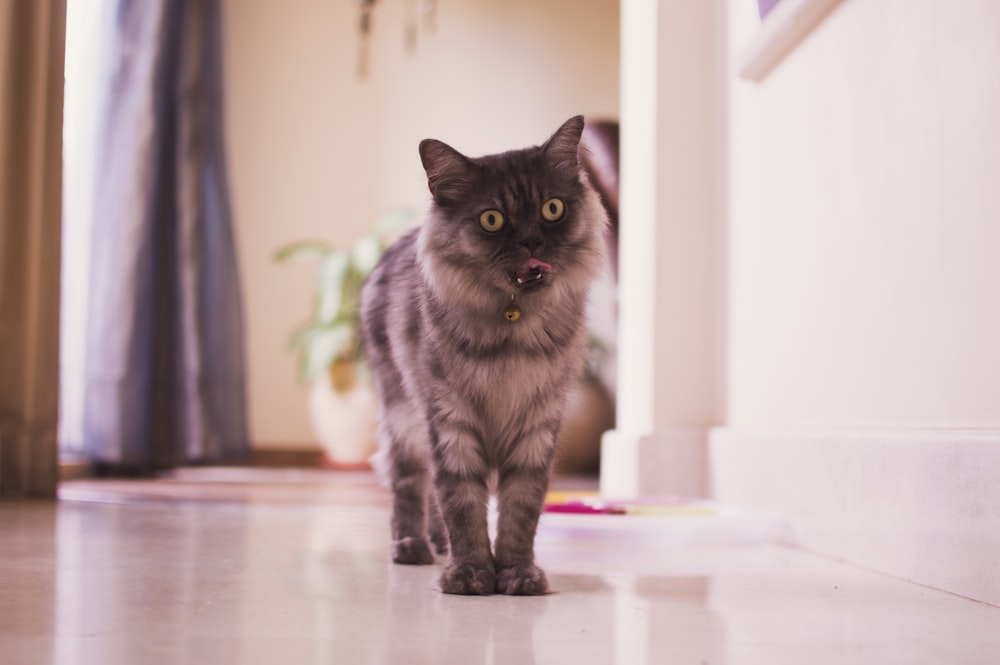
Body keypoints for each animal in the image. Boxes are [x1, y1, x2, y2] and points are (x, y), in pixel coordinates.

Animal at [362, 115, 604, 596]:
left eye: (553, 209)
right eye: (492, 220)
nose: (531, 242)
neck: (513, 326)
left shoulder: (536, 426)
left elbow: (519, 511)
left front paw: (517, 574)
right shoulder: (450, 422)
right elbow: (463, 504)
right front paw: (471, 574)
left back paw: (437, 544)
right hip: (403, 418)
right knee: (409, 486)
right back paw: (412, 547)